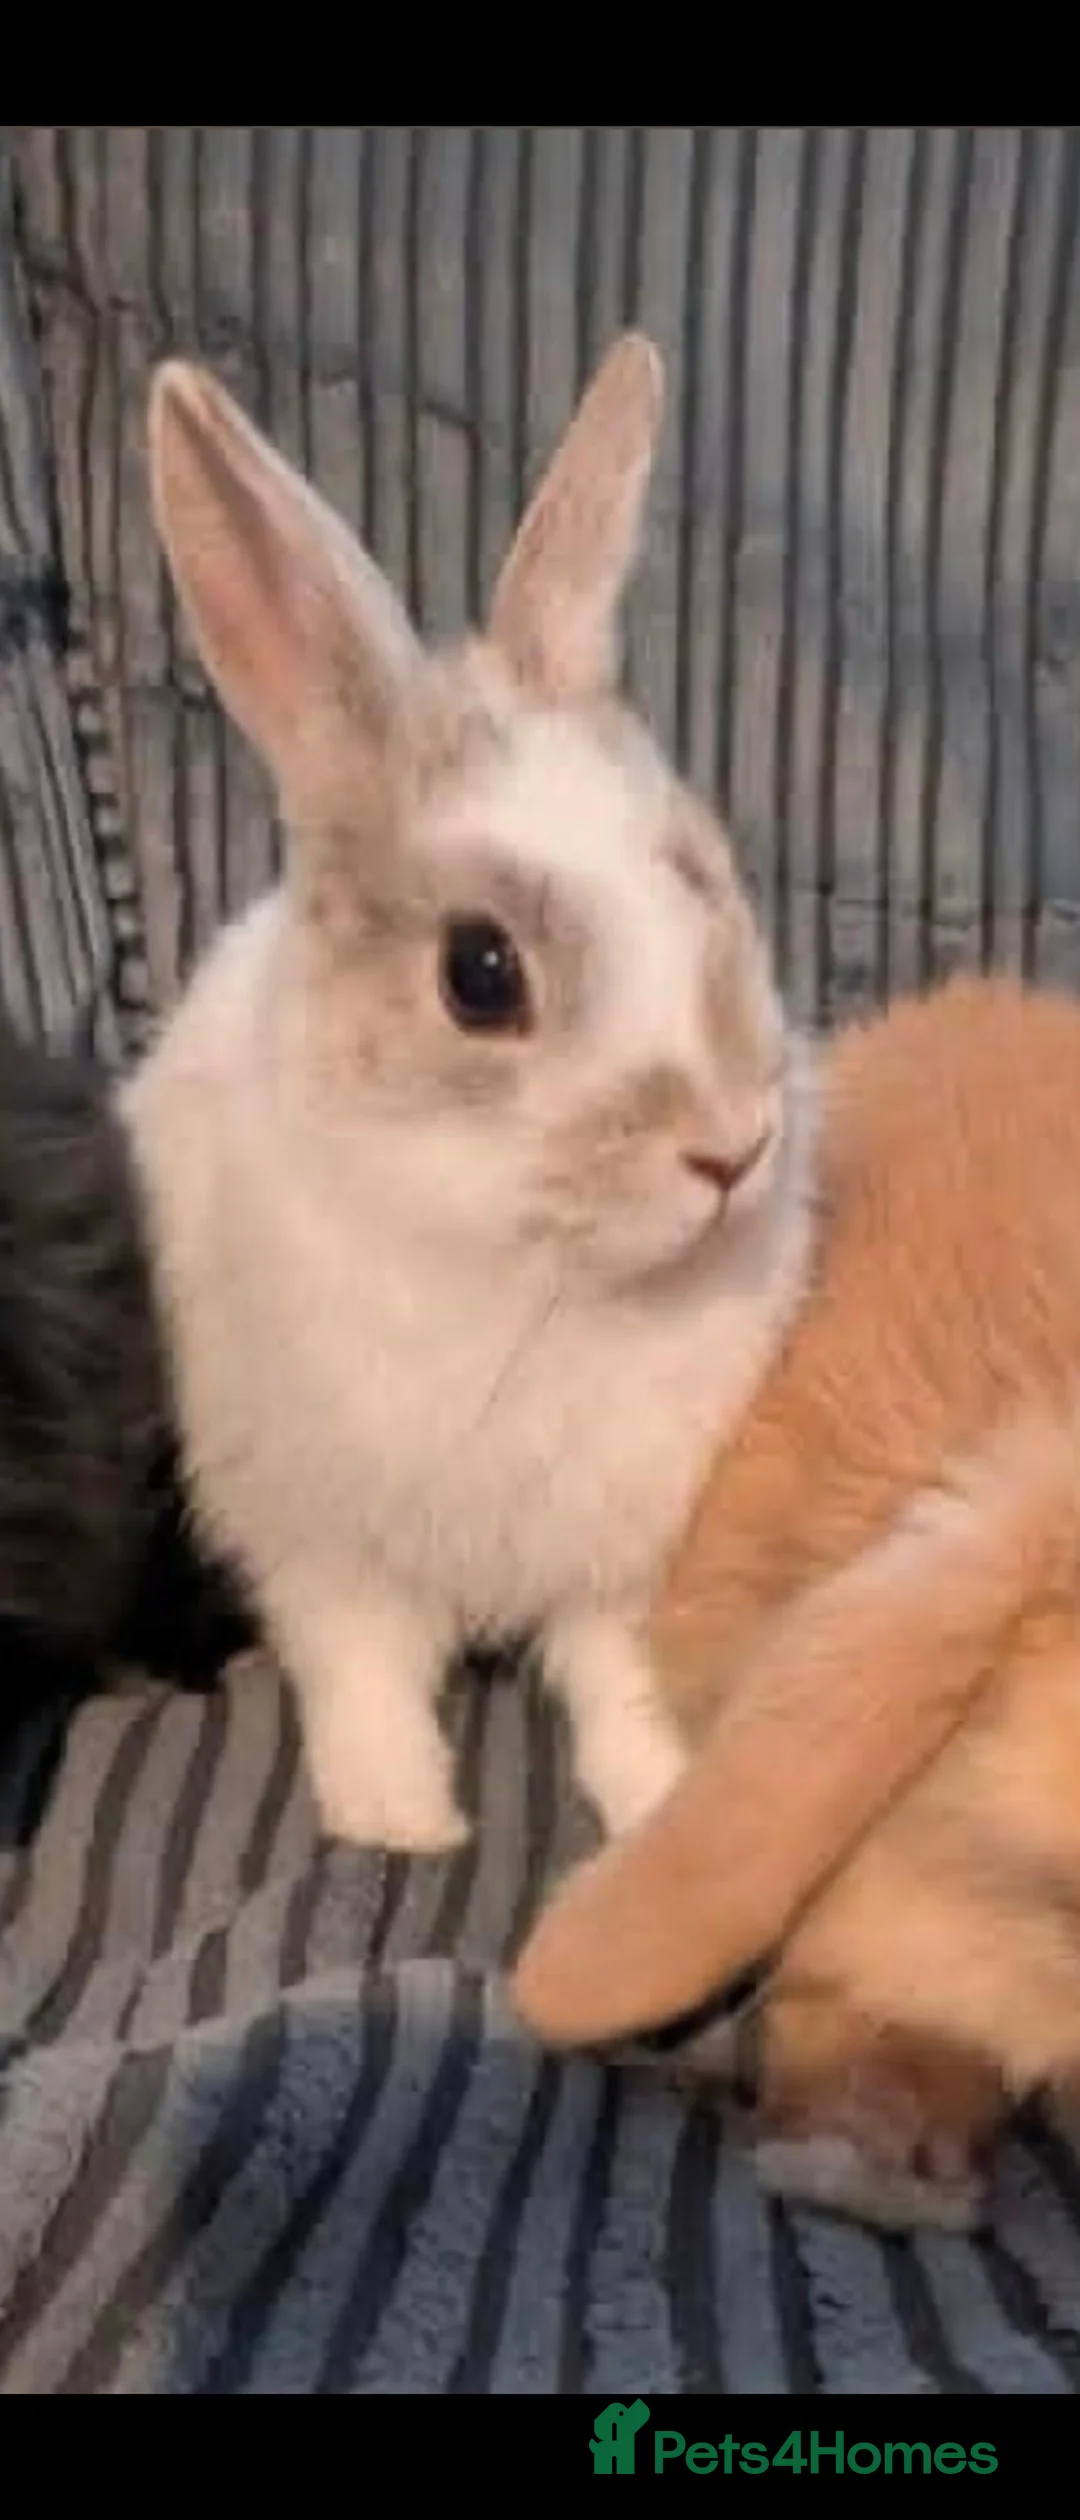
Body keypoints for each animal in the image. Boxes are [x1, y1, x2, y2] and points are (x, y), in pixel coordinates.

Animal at [118, 334, 816, 1858]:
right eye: (479, 974)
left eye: (699, 871)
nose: (732, 1148)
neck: (524, 1266)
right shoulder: (322, 1538)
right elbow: (364, 1673)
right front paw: (400, 1823)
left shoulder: (625, 1555)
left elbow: (617, 1681)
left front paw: (655, 1797)